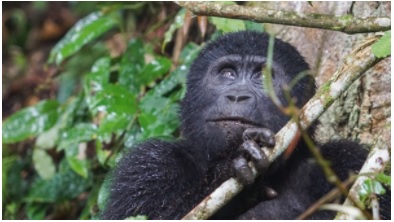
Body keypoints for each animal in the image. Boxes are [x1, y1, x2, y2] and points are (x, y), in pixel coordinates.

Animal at [100, 30, 390, 219]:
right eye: (227, 74)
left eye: (262, 77)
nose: (238, 96)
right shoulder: (146, 167)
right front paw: (236, 166)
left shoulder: (350, 161)